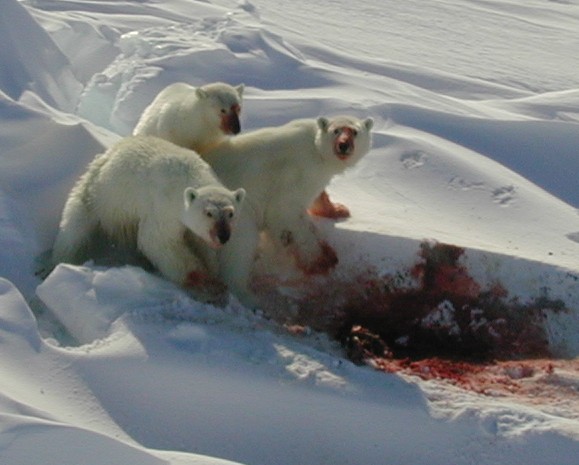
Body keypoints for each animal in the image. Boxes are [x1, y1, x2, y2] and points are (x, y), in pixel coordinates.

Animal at [50, 134, 247, 300]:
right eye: (209, 213)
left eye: (231, 213)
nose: (223, 235)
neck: (188, 173)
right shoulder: (163, 206)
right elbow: (158, 241)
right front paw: (202, 280)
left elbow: (199, 242)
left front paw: (215, 277)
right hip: (97, 195)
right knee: (74, 230)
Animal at [204, 115, 374, 304]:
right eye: (336, 130)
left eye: (354, 131)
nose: (343, 145)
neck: (315, 151)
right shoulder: (293, 173)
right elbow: (286, 212)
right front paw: (323, 260)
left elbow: (317, 196)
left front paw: (339, 209)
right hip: (231, 209)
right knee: (239, 247)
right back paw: (248, 296)